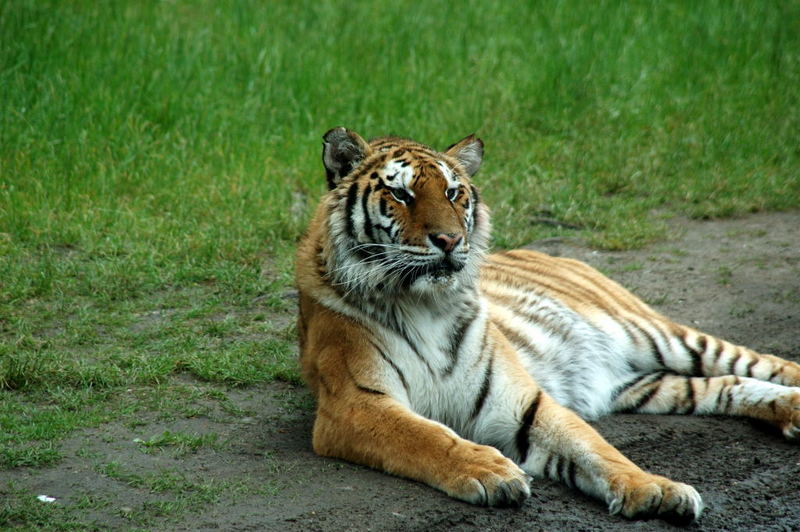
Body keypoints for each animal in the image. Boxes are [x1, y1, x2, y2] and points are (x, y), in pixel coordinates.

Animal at [296, 127, 800, 520]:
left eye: (453, 193)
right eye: (401, 194)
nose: (450, 240)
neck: (427, 305)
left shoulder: (522, 402)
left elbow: (595, 449)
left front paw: (654, 488)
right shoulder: (356, 404)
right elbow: (426, 436)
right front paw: (490, 471)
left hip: (658, 335)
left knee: (762, 364)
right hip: (644, 385)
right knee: (728, 385)